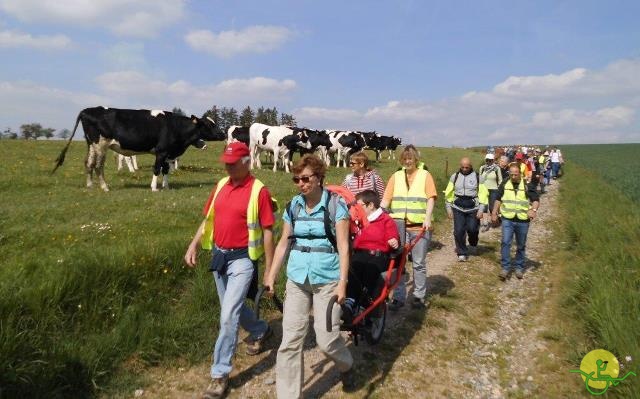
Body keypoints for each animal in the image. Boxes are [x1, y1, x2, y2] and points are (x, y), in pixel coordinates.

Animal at [53, 107, 226, 191]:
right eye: (209, 125)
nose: (223, 133)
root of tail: (87, 110)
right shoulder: (161, 151)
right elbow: (157, 169)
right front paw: (154, 188)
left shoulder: (168, 153)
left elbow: (166, 170)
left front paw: (166, 186)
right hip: (101, 145)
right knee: (98, 166)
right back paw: (105, 187)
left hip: (91, 145)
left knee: (88, 163)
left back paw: (90, 186)